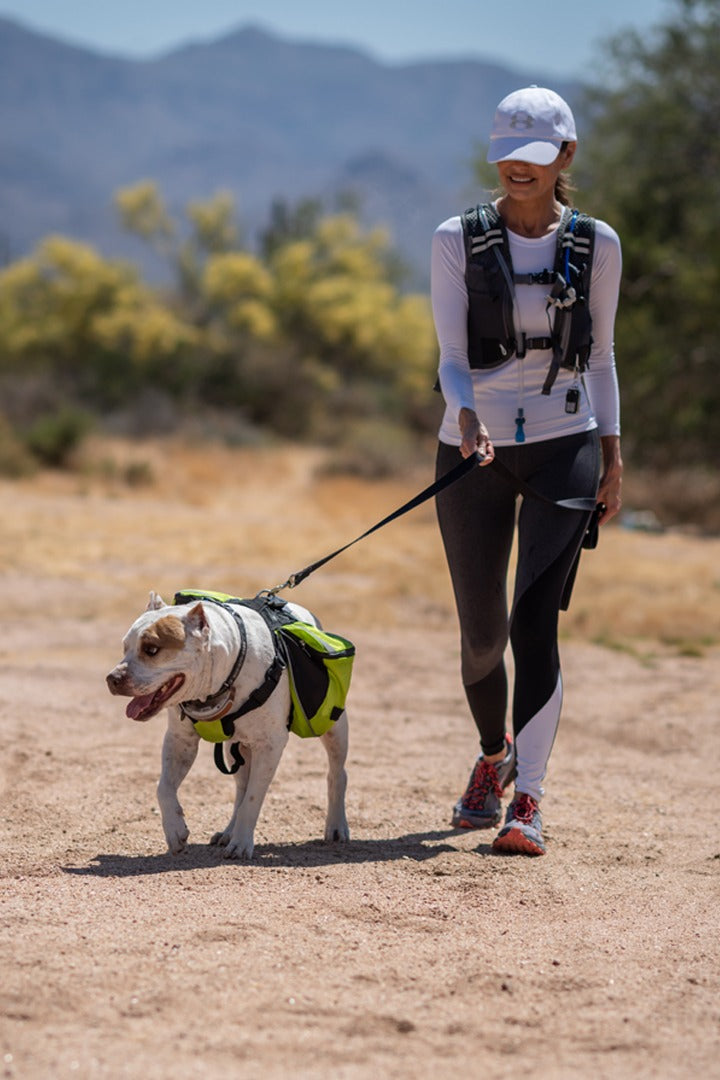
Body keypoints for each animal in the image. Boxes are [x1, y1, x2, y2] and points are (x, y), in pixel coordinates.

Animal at [107, 591, 351, 859]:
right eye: (125, 647)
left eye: (151, 649)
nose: (112, 678)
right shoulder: (180, 740)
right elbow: (163, 788)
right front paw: (175, 830)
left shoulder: (270, 746)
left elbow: (253, 799)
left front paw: (242, 843)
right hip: (235, 748)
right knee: (240, 789)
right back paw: (228, 832)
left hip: (333, 727)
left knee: (337, 773)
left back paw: (336, 825)